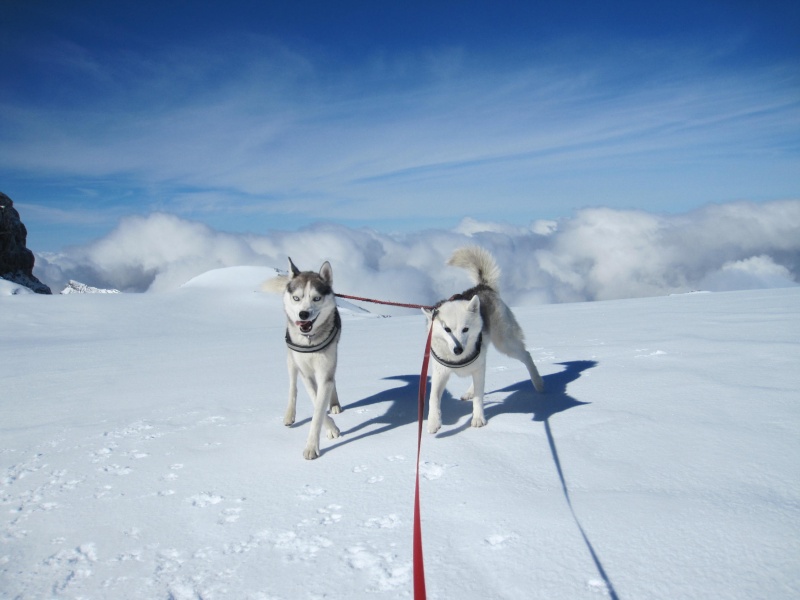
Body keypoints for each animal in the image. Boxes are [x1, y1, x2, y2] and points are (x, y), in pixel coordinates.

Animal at [264, 258, 342, 460]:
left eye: (316, 298)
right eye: (296, 298)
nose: (303, 314)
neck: (309, 340)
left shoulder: (324, 371)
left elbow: (319, 408)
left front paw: (311, 446)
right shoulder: (306, 374)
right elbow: (315, 401)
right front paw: (331, 429)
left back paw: (335, 404)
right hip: (291, 361)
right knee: (293, 387)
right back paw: (289, 415)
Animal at [424, 246, 544, 434]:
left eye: (465, 329)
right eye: (447, 329)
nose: (458, 350)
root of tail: (483, 286)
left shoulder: (478, 368)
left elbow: (479, 398)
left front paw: (478, 419)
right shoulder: (440, 373)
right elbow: (433, 398)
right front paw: (433, 422)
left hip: (505, 342)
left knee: (527, 355)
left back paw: (538, 383)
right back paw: (468, 392)